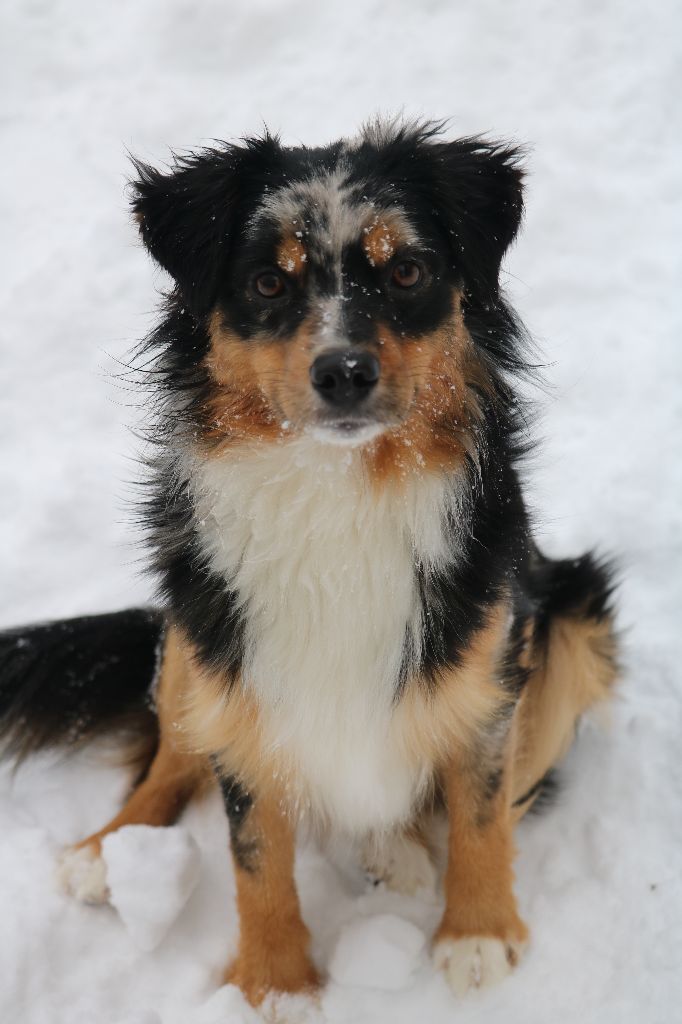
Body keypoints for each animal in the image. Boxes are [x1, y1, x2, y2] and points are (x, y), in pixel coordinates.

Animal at [0, 119, 614, 1007]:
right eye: (266, 283)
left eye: (406, 270)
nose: (345, 372)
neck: (339, 486)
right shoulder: (239, 670)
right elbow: (254, 853)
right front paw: (277, 984)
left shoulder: (497, 649)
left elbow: (481, 804)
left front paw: (477, 934)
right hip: (193, 634)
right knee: (173, 750)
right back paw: (107, 850)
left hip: (575, 616)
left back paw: (395, 849)